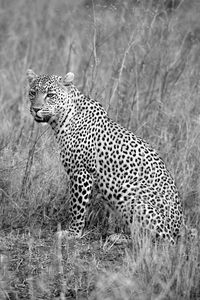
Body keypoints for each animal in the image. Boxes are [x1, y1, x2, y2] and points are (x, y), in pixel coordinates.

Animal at [27, 69, 184, 244]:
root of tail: (178, 230)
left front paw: (73, 233)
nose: (36, 109)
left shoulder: (81, 172)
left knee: (157, 240)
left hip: (128, 192)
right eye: (32, 93)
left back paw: (119, 237)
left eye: (50, 95)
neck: (61, 121)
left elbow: (77, 207)